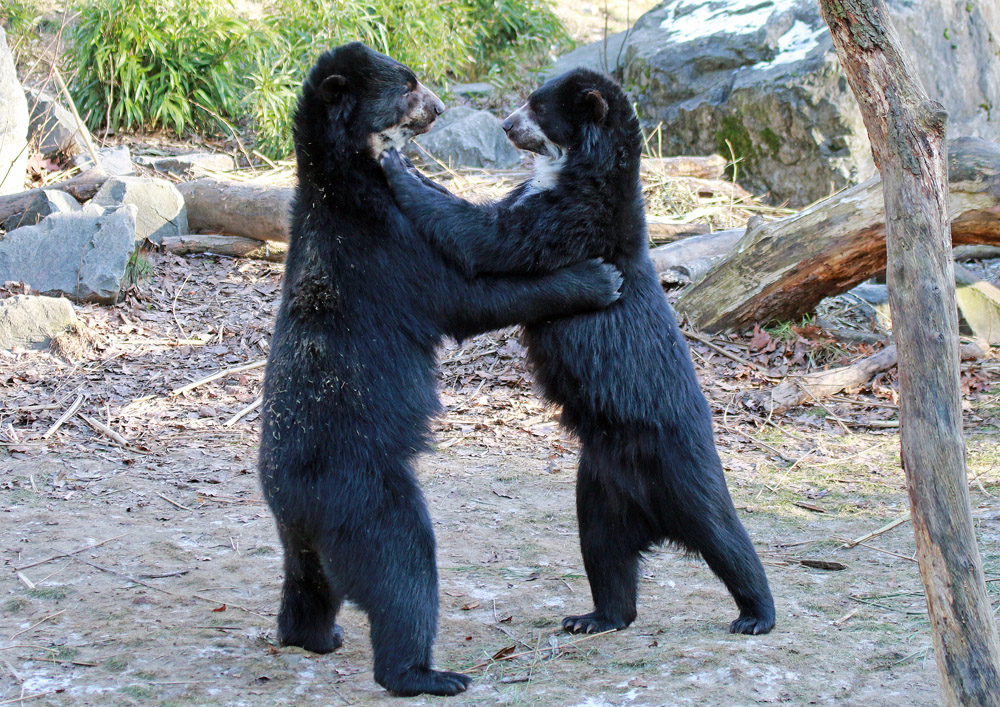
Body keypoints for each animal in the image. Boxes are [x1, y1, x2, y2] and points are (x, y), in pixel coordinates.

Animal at [256, 47, 624, 700]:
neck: (345, 178)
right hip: (367, 497)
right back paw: (426, 673)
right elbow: (466, 296)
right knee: (402, 569)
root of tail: (287, 497)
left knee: (308, 585)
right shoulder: (388, 250)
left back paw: (314, 636)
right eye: (407, 86)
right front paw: (596, 278)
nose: (439, 106)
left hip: (306, 535)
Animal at [378, 69, 776, 640]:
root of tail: (652, 518)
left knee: (723, 534)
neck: (574, 170)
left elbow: (490, 236)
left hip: (680, 467)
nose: (506, 124)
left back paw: (755, 613)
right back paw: (594, 617)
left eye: (539, 108)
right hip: (597, 490)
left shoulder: (571, 218)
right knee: (605, 553)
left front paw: (399, 165)